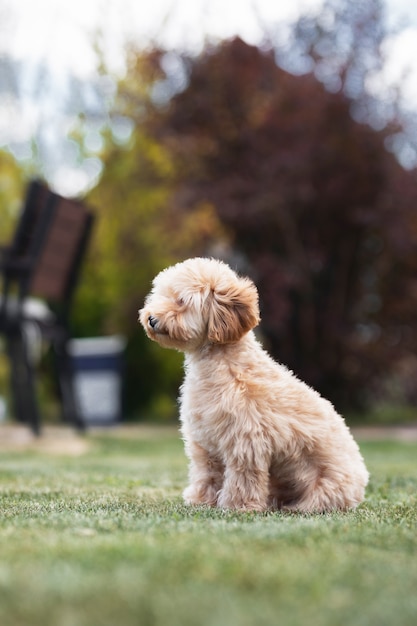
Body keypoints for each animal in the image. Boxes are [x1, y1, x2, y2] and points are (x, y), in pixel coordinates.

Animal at [139, 256, 368, 510]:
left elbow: (243, 479)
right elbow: (207, 474)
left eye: (181, 301)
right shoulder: (205, 442)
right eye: (161, 294)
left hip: (326, 487)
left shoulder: (246, 441)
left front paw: (237, 506)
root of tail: (361, 484)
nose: (151, 318)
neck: (224, 363)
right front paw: (201, 500)